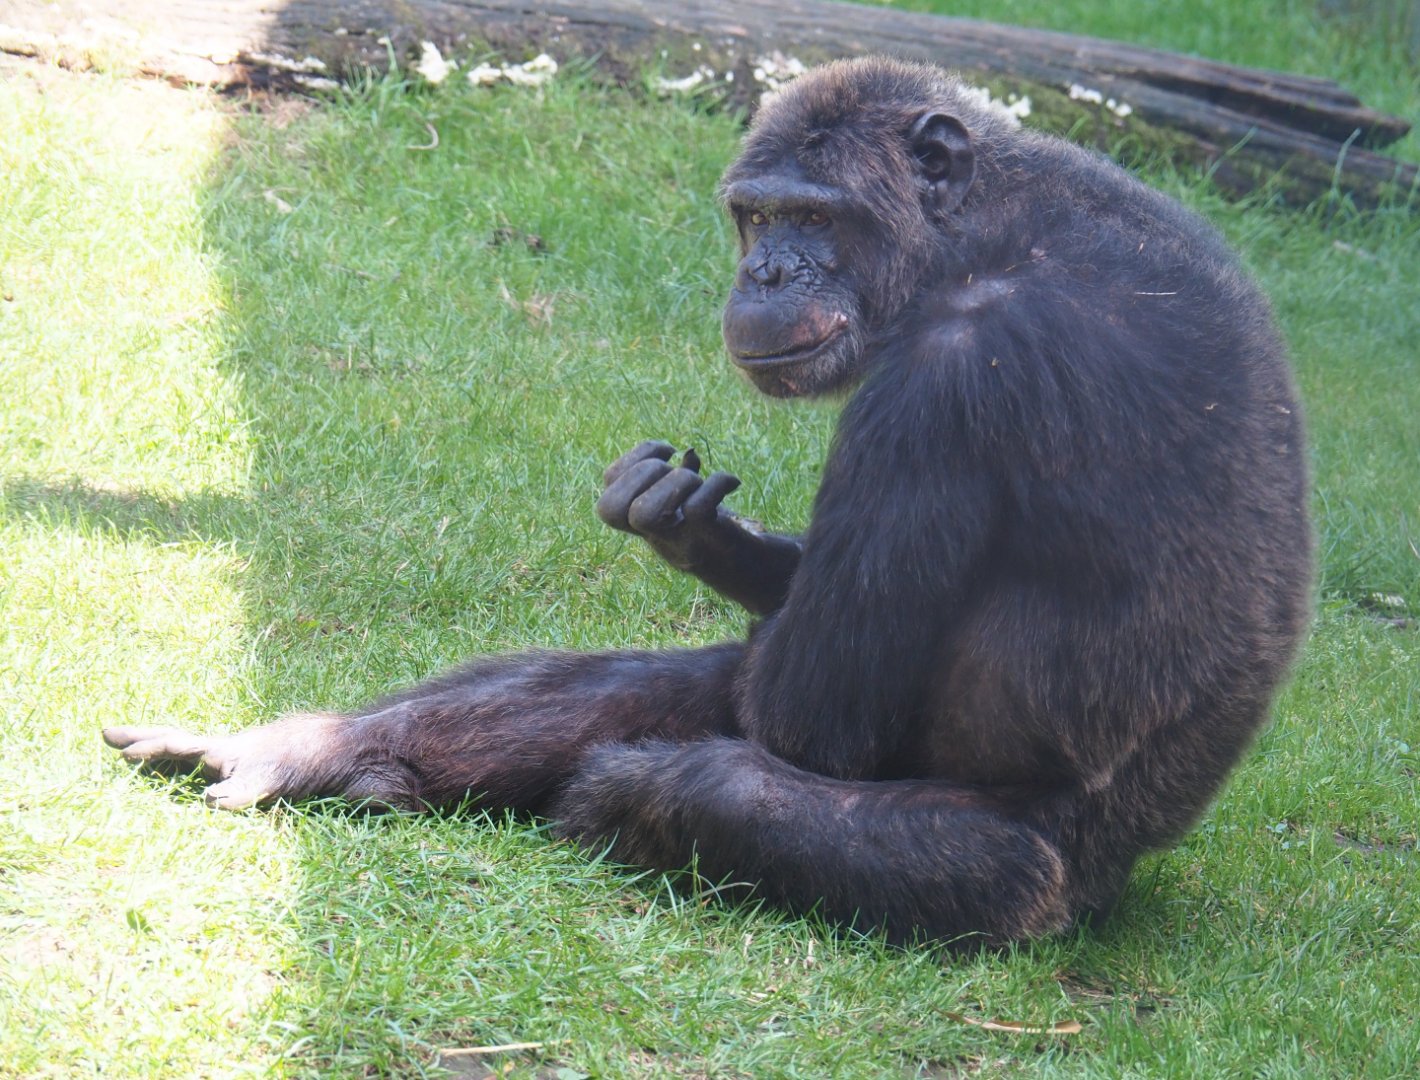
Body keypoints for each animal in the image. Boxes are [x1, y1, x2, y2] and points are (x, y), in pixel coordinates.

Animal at [105, 57, 1312, 947]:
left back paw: (609, 798)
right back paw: (306, 751)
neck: (991, 232)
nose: (767, 273)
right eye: (756, 216)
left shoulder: (949, 383)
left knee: (721, 776)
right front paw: (687, 522)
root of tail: (1115, 884)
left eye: (817, 218)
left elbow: (806, 714)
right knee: (659, 690)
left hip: (1020, 888)